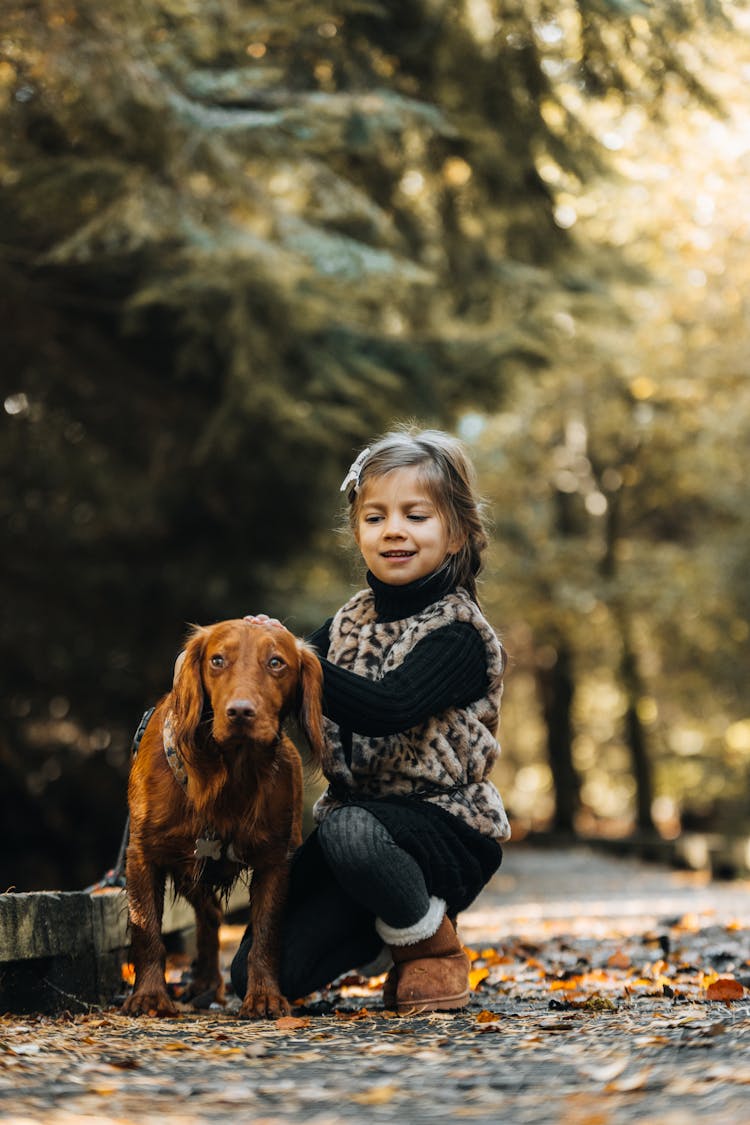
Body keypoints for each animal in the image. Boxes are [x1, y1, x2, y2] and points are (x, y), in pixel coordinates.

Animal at [122, 616, 323, 1021]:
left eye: (276, 663)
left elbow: (265, 934)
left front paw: (264, 996)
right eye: (217, 660)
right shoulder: (143, 855)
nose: (240, 712)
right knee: (208, 913)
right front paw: (149, 996)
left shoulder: (276, 861)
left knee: (211, 914)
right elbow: (147, 930)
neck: (229, 773)